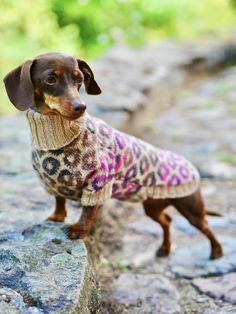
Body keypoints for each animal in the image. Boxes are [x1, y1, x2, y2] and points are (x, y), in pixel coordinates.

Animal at [3, 52, 223, 258]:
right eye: (51, 79)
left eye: (79, 79)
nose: (81, 107)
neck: (56, 137)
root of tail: (192, 169)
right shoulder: (50, 182)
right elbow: (59, 199)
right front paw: (57, 217)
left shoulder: (97, 182)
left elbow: (88, 209)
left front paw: (80, 229)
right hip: (152, 207)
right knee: (167, 221)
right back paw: (165, 248)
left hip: (191, 208)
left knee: (206, 227)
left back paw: (217, 251)